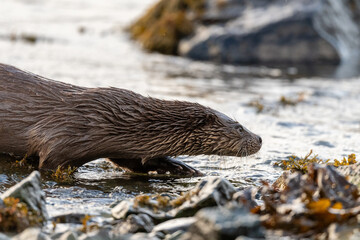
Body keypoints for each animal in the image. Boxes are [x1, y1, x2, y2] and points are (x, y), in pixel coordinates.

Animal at [0, 63, 260, 176]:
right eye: (238, 127)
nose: (259, 138)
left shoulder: (123, 148)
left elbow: (133, 162)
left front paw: (180, 166)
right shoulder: (61, 138)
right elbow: (48, 164)